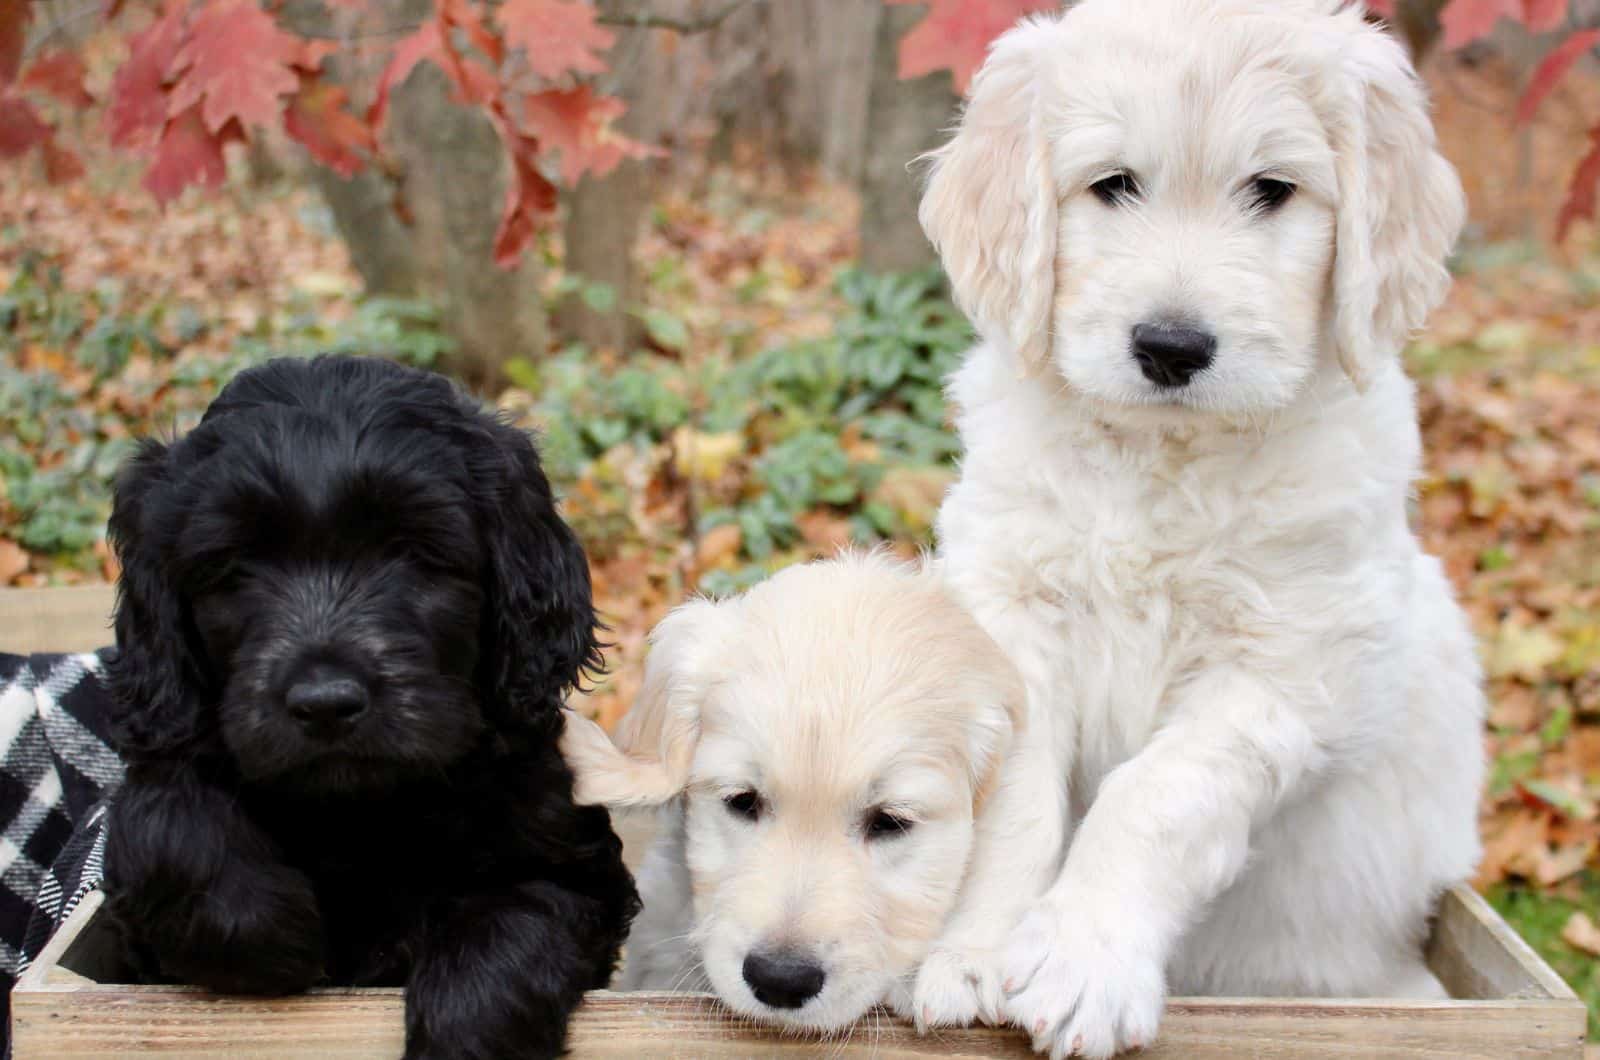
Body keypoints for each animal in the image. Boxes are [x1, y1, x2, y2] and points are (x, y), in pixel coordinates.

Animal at [98, 358, 636, 1060]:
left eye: (413, 553)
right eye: (234, 569)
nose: (326, 705)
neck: (363, 810)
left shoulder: (573, 864)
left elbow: (517, 913)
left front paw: (465, 1033)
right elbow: (158, 814)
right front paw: (268, 928)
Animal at [915, 2, 1484, 1060]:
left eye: (1272, 190)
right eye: (1113, 184)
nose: (1172, 347)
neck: (1164, 456)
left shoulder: (1285, 670)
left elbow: (1160, 795)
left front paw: (1084, 961)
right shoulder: (1015, 611)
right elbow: (1013, 800)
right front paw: (970, 953)